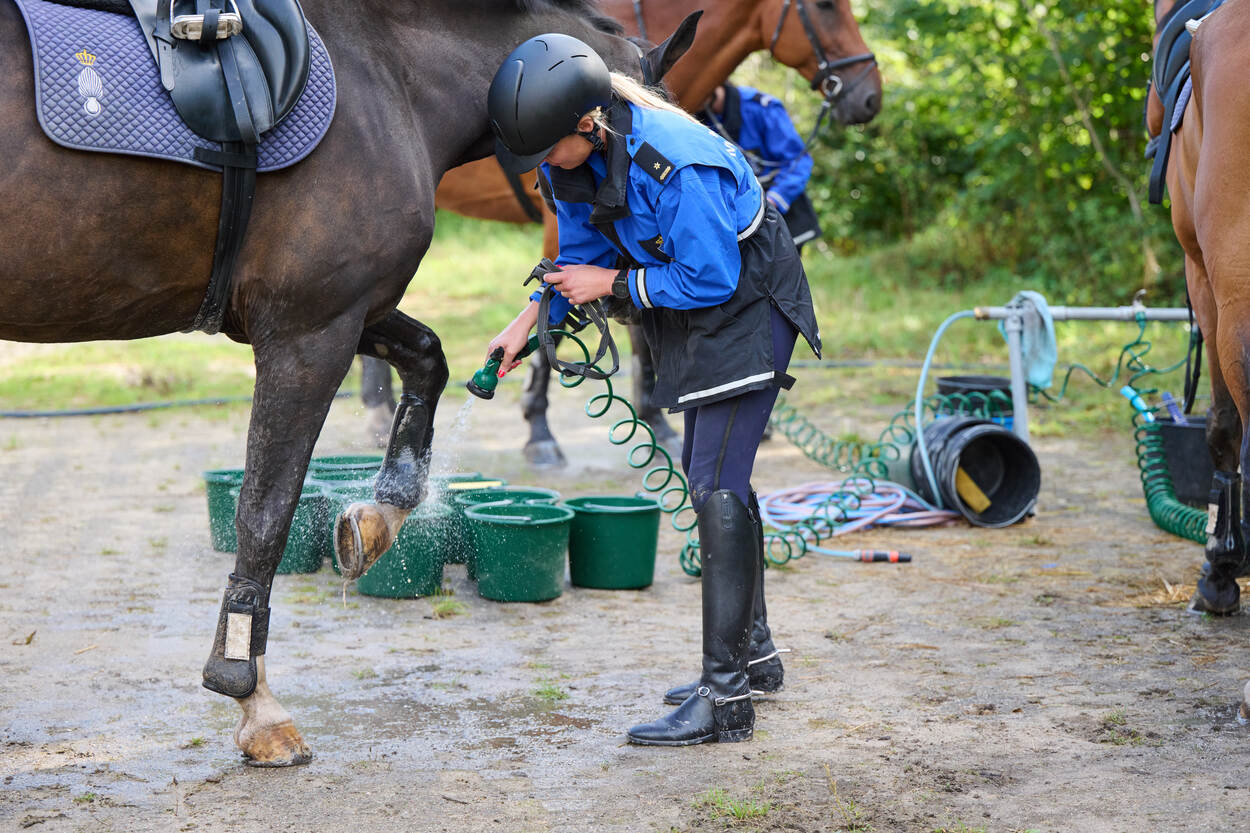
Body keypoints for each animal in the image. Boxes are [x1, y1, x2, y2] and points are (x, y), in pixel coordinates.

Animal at [0, 0, 690, 760]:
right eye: (634, 134)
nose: (637, 279)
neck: (385, 75)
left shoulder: (352, 310)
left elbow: (429, 359)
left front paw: (382, 513)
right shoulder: (309, 333)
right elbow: (266, 509)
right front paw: (249, 690)